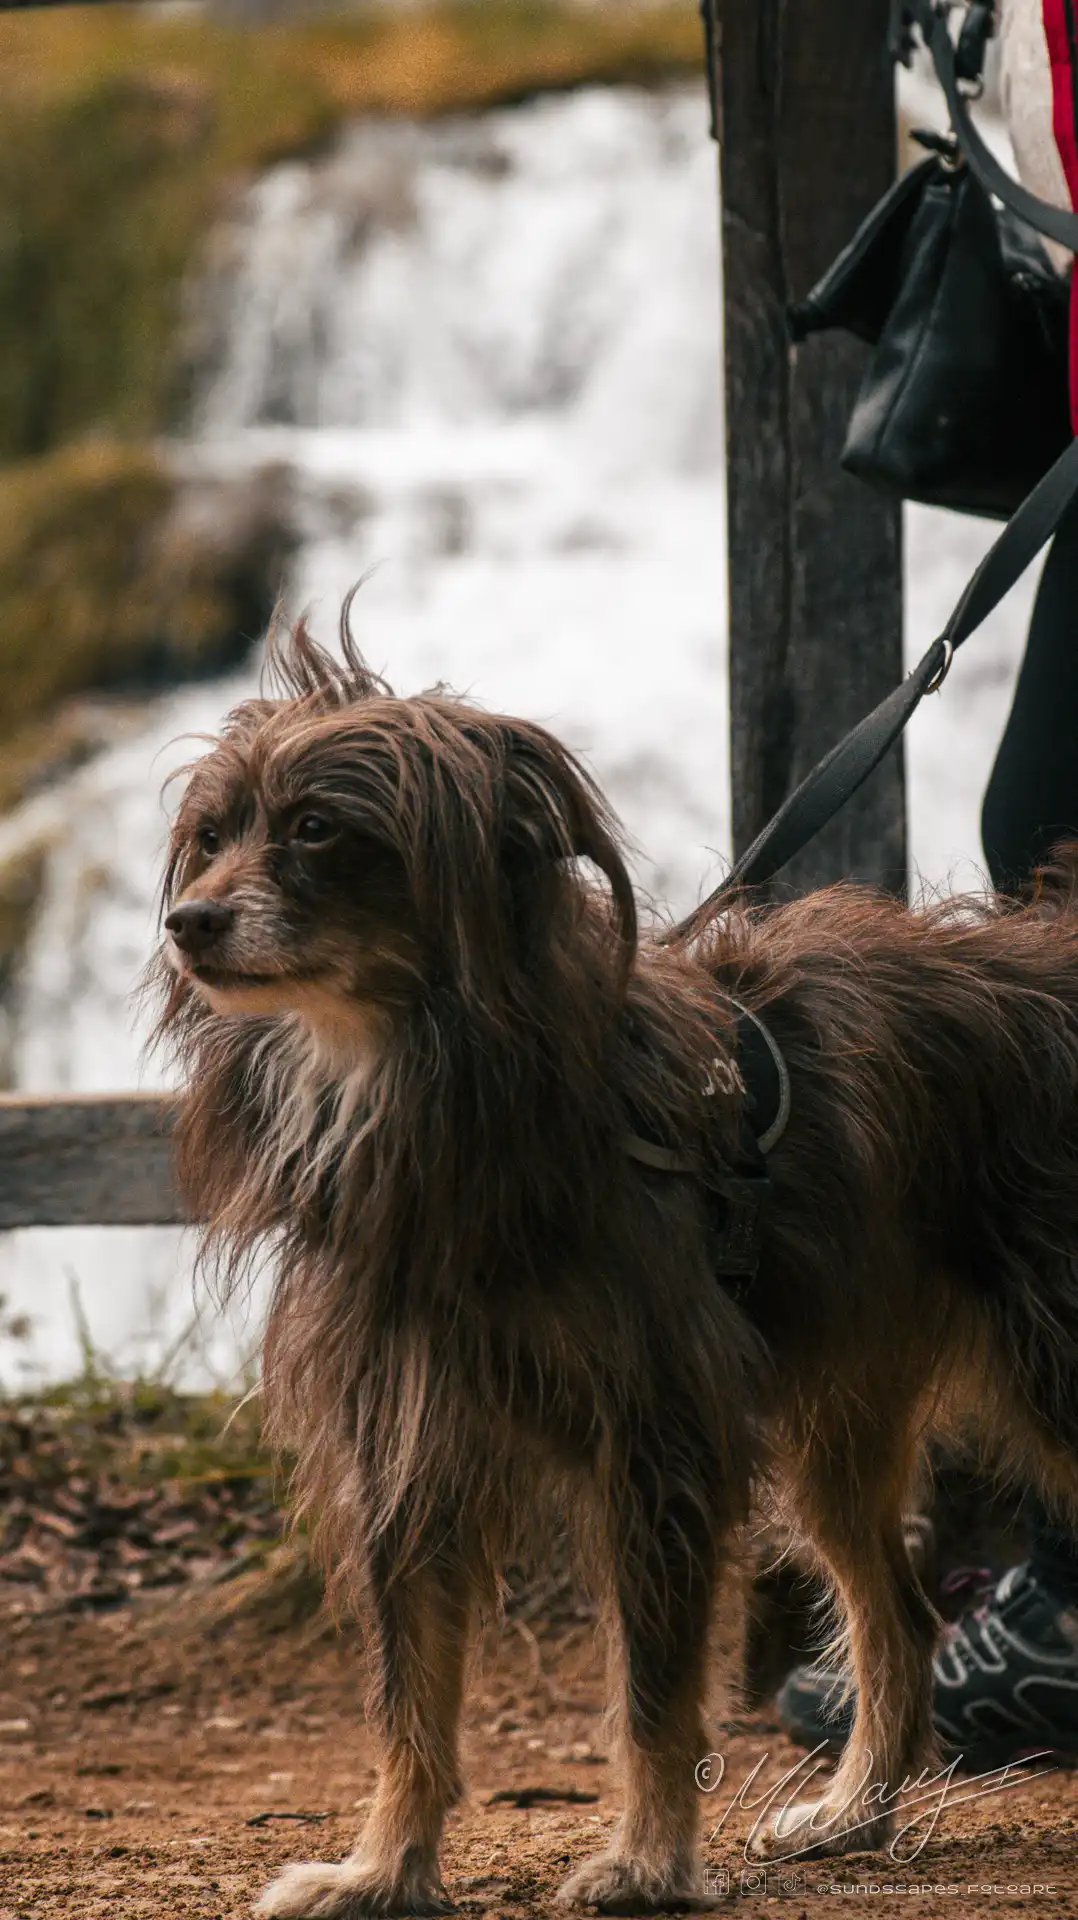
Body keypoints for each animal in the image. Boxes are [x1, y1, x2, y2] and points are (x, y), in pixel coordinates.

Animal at [153, 622, 1078, 1912]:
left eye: (317, 828)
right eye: (212, 833)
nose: (185, 922)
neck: (440, 1093)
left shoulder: (657, 1435)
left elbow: (650, 1690)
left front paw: (645, 1861)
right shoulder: (407, 1440)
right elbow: (408, 1695)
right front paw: (383, 1867)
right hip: (839, 1426)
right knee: (896, 1615)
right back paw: (855, 1812)